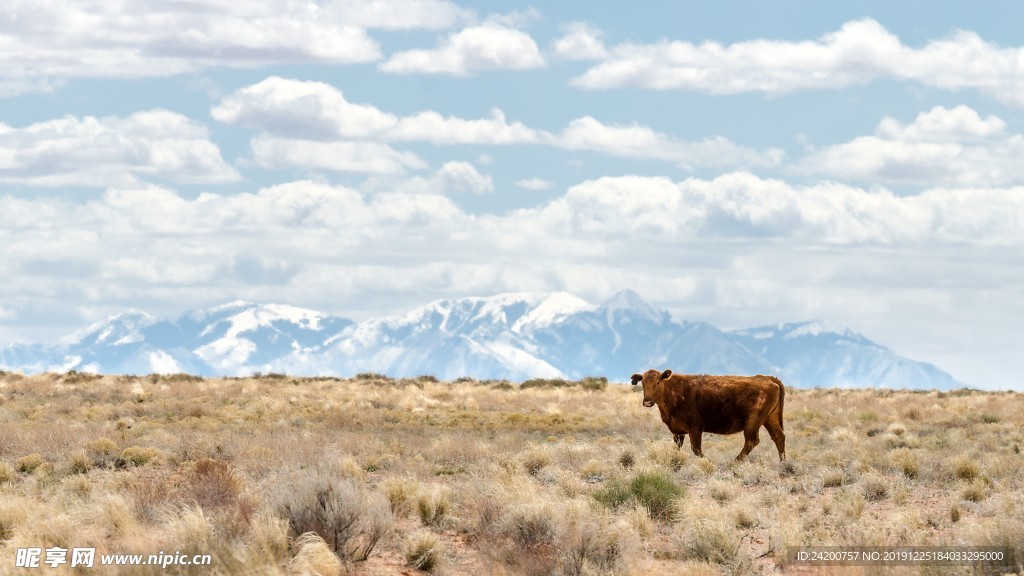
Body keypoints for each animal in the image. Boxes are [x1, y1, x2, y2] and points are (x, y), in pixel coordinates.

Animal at [626, 366, 786, 461]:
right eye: (643, 383)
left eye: (658, 382)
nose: (647, 402)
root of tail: (768, 378)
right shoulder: (678, 431)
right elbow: (677, 447)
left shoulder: (695, 428)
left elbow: (696, 449)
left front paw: (708, 461)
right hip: (770, 419)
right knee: (778, 437)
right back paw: (782, 463)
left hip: (752, 423)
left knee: (752, 441)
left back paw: (734, 462)